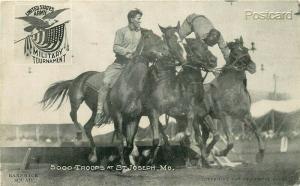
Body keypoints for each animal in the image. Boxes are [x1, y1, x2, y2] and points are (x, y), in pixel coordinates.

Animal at [39, 23, 185, 164]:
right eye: (150, 37)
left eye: (161, 38)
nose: (169, 54)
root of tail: (76, 78)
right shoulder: (130, 113)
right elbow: (124, 139)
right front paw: (127, 161)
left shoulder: (136, 116)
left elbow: (135, 140)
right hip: (76, 100)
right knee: (73, 115)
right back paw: (79, 137)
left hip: (95, 110)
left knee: (88, 126)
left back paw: (94, 155)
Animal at [197, 36, 264, 164]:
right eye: (235, 52)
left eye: (246, 49)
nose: (252, 67)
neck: (233, 92)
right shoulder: (225, 116)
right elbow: (231, 141)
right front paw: (219, 153)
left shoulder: (244, 115)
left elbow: (257, 130)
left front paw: (260, 155)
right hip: (206, 118)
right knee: (212, 136)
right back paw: (206, 154)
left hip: (205, 122)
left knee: (205, 137)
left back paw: (203, 159)